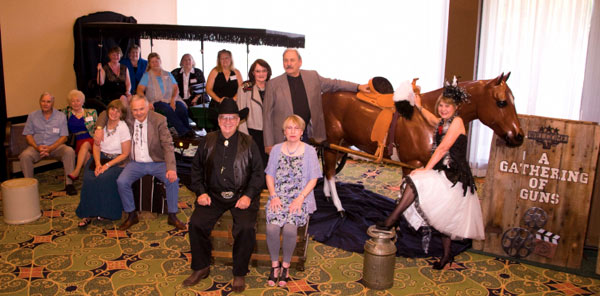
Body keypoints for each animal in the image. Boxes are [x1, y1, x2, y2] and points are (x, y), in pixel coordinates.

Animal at [322, 72, 524, 214]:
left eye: (514, 100)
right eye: (502, 102)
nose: (519, 136)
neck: (428, 114)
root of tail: (326, 93)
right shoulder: (411, 164)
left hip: (343, 143)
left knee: (327, 167)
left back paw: (326, 195)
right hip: (333, 141)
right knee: (330, 171)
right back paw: (338, 206)